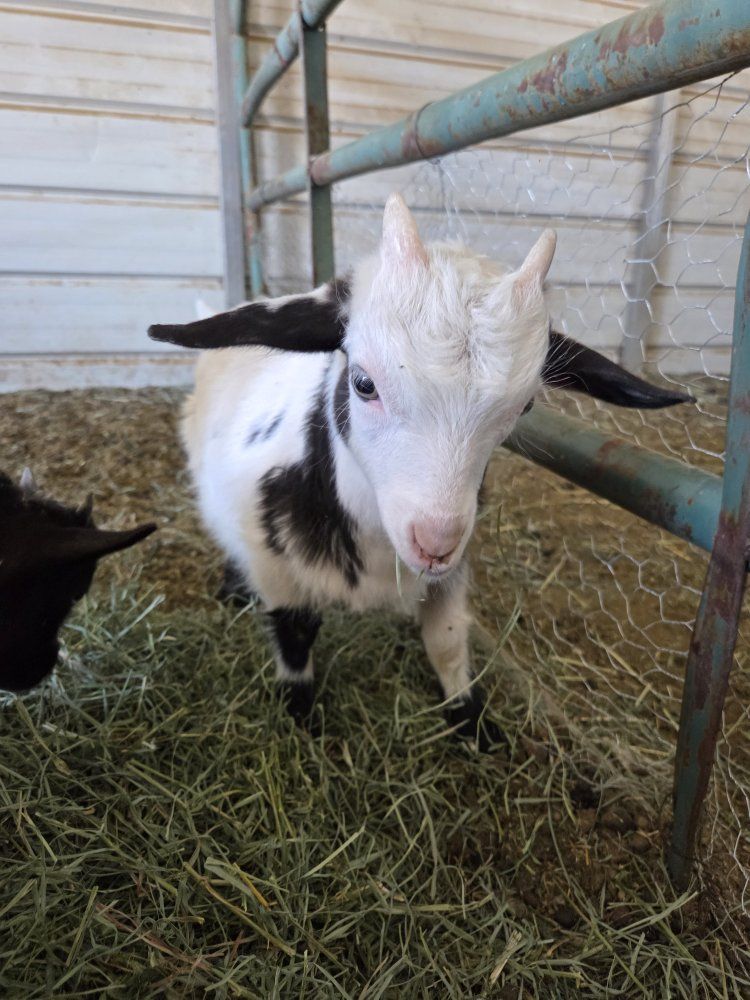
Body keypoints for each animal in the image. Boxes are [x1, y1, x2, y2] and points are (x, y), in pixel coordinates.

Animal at [149, 194, 690, 749]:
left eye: (525, 407)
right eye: (363, 382)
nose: (435, 543)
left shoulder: (453, 571)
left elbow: (447, 640)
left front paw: (470, 718)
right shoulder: (273, 562)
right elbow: (296, 635)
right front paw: (300, 716)